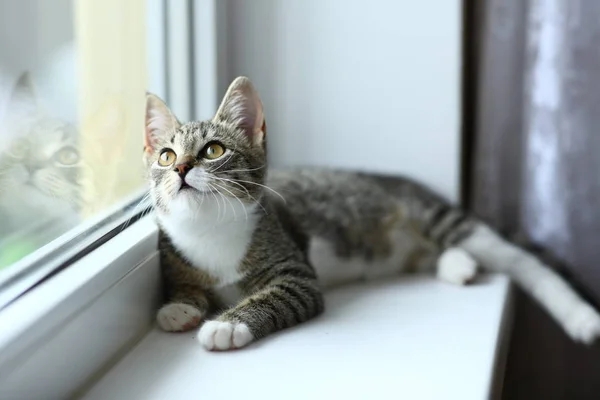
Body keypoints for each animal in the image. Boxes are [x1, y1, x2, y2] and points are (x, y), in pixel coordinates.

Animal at [144, 75, 600, 350]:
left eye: (213, 150)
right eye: (166, 156)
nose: (181, 168)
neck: (208, 230)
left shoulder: (296, 270)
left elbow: (278, 295)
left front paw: (226, 324)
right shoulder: (176, 256)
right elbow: (186, 286)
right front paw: (179, 306)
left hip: (437, 216)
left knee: (521, 261)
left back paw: (580, 316)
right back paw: (459, 267)